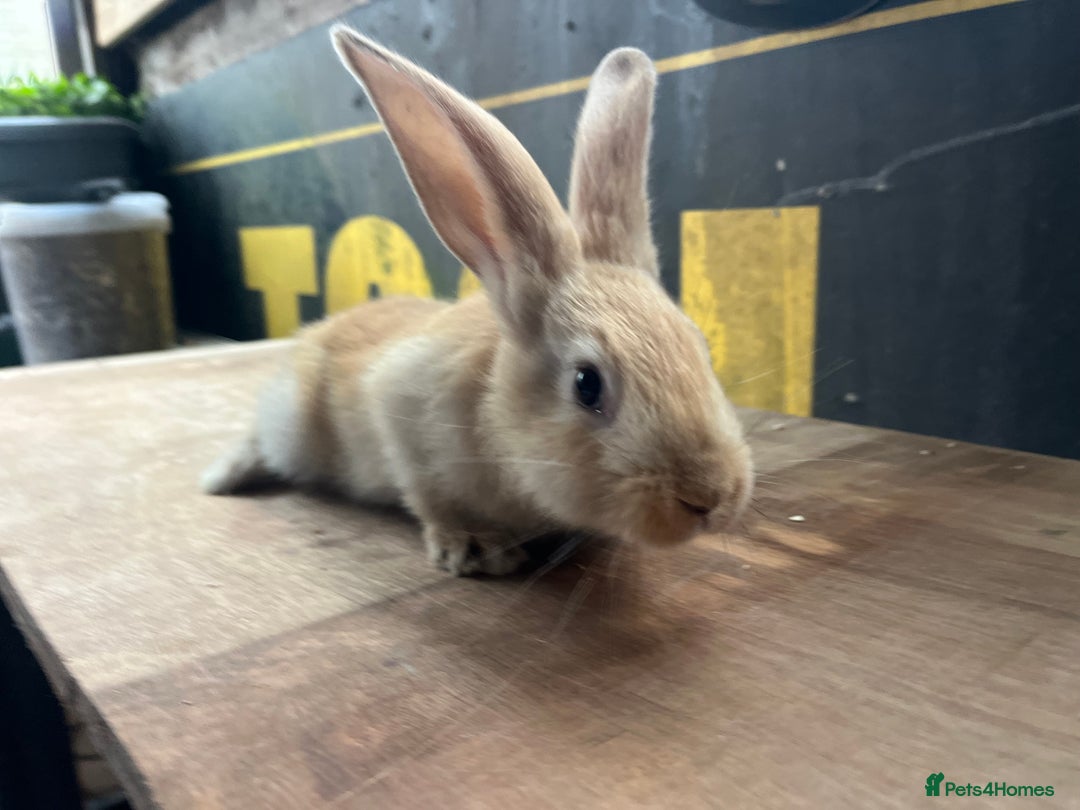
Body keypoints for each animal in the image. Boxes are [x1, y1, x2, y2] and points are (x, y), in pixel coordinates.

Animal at [200, 25, 754, 576]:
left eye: (702, 351)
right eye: (587, 384)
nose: (710, 497)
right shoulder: (400, 413)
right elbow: (429, 496)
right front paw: (474, 548)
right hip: (289, 424)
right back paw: (222, 477)